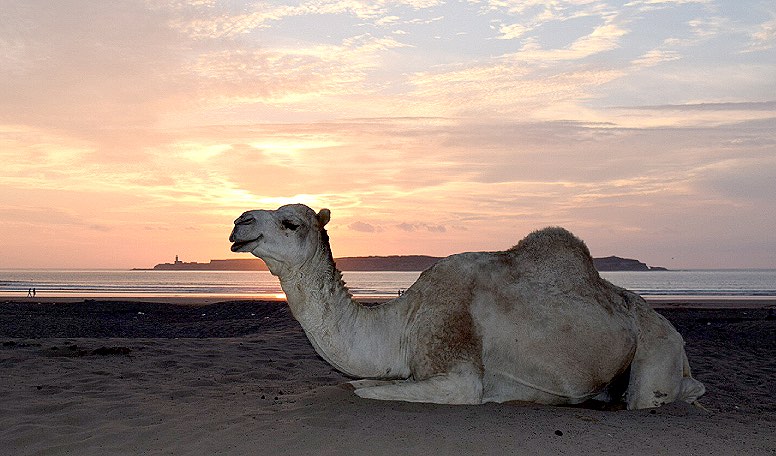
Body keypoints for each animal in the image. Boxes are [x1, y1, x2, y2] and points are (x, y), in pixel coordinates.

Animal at [229, 204, 705, 409]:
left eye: (290, 222)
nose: (239, 223)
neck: (401, 323)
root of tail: (677, 337)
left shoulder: (457, 367)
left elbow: (364, 387)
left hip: (656, 350)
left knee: (655, 395)